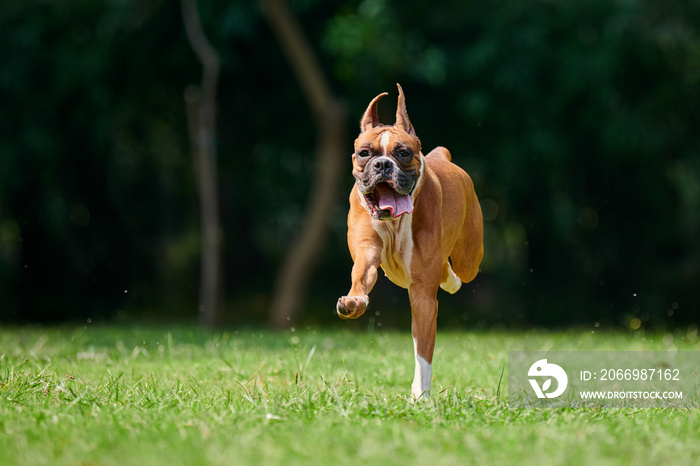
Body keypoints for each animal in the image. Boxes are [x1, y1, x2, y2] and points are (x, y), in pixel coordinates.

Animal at [338, 84, 482, 400]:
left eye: (402, 153)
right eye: (364, 153)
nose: (382, 164)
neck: (394, 224)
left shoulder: (423, 297)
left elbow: (423, 356)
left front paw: (421, 397)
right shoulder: (366, 254)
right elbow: (361, 276)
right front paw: (354, 300)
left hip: (469, 259)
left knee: (457, 272)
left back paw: (451, 279)